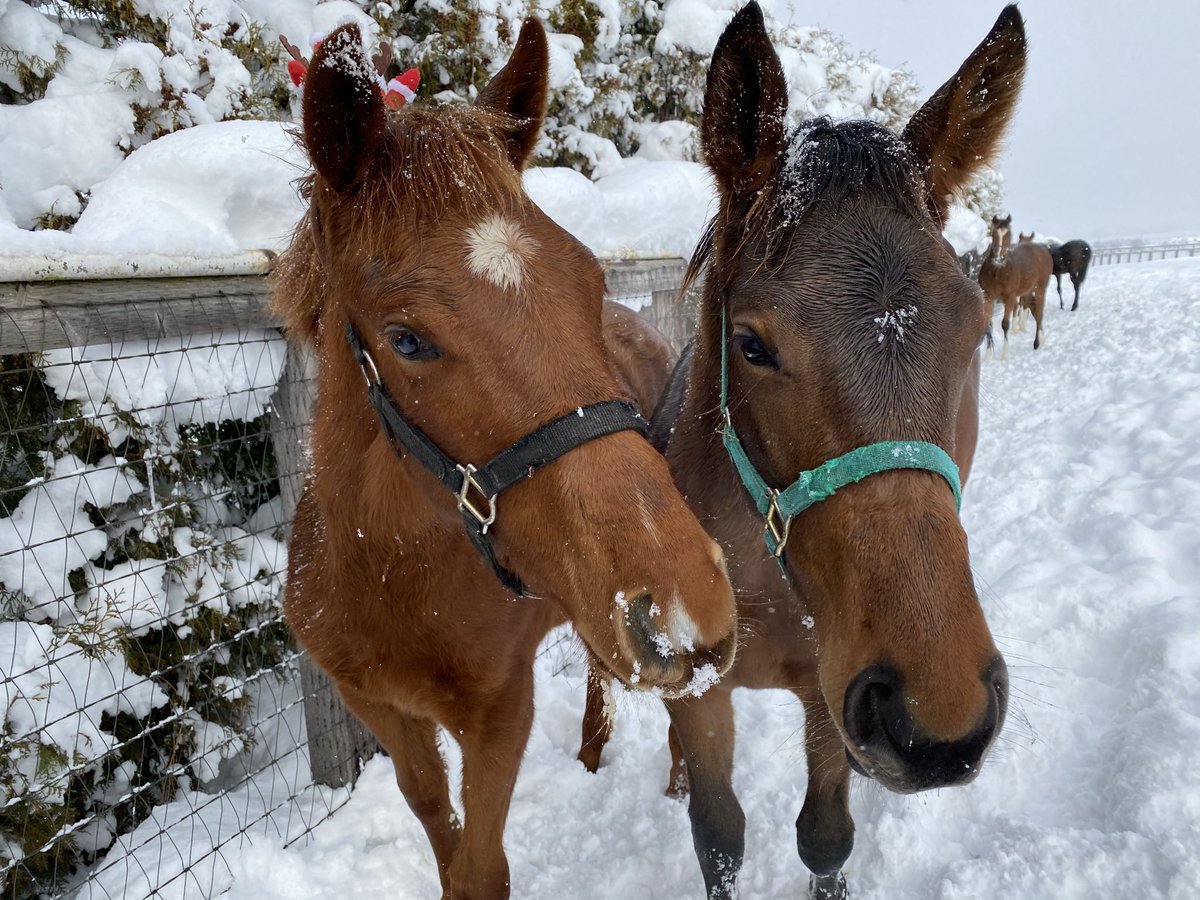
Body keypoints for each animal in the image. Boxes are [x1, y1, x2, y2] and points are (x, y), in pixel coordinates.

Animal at [271, 21, 738, 898]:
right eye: (407, 339)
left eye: (587, 279)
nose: (689, 609)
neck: (386, 574)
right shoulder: (381, 710)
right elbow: (435, 818)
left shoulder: (499, 716)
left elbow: (480, 868)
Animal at [580, 4, 1026, 897]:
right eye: (752, 345)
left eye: (972, 329)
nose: (938, 714)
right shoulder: (707, 695)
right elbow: (719, 834)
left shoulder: (829, 691)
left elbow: (824, 836)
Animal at [978, 214, 1053, 356]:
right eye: (994, 233)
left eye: (1008, 234)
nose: (998, 257)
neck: (998, 271)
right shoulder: (988, 297)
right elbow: (989, 324)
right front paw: (988, 357)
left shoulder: (1010, 298)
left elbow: (1005, 324)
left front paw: (1004, 355)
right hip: (1028, 291)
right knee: (1031, 307)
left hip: (1040, 288)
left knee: (1039, 313)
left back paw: (1037, 342)